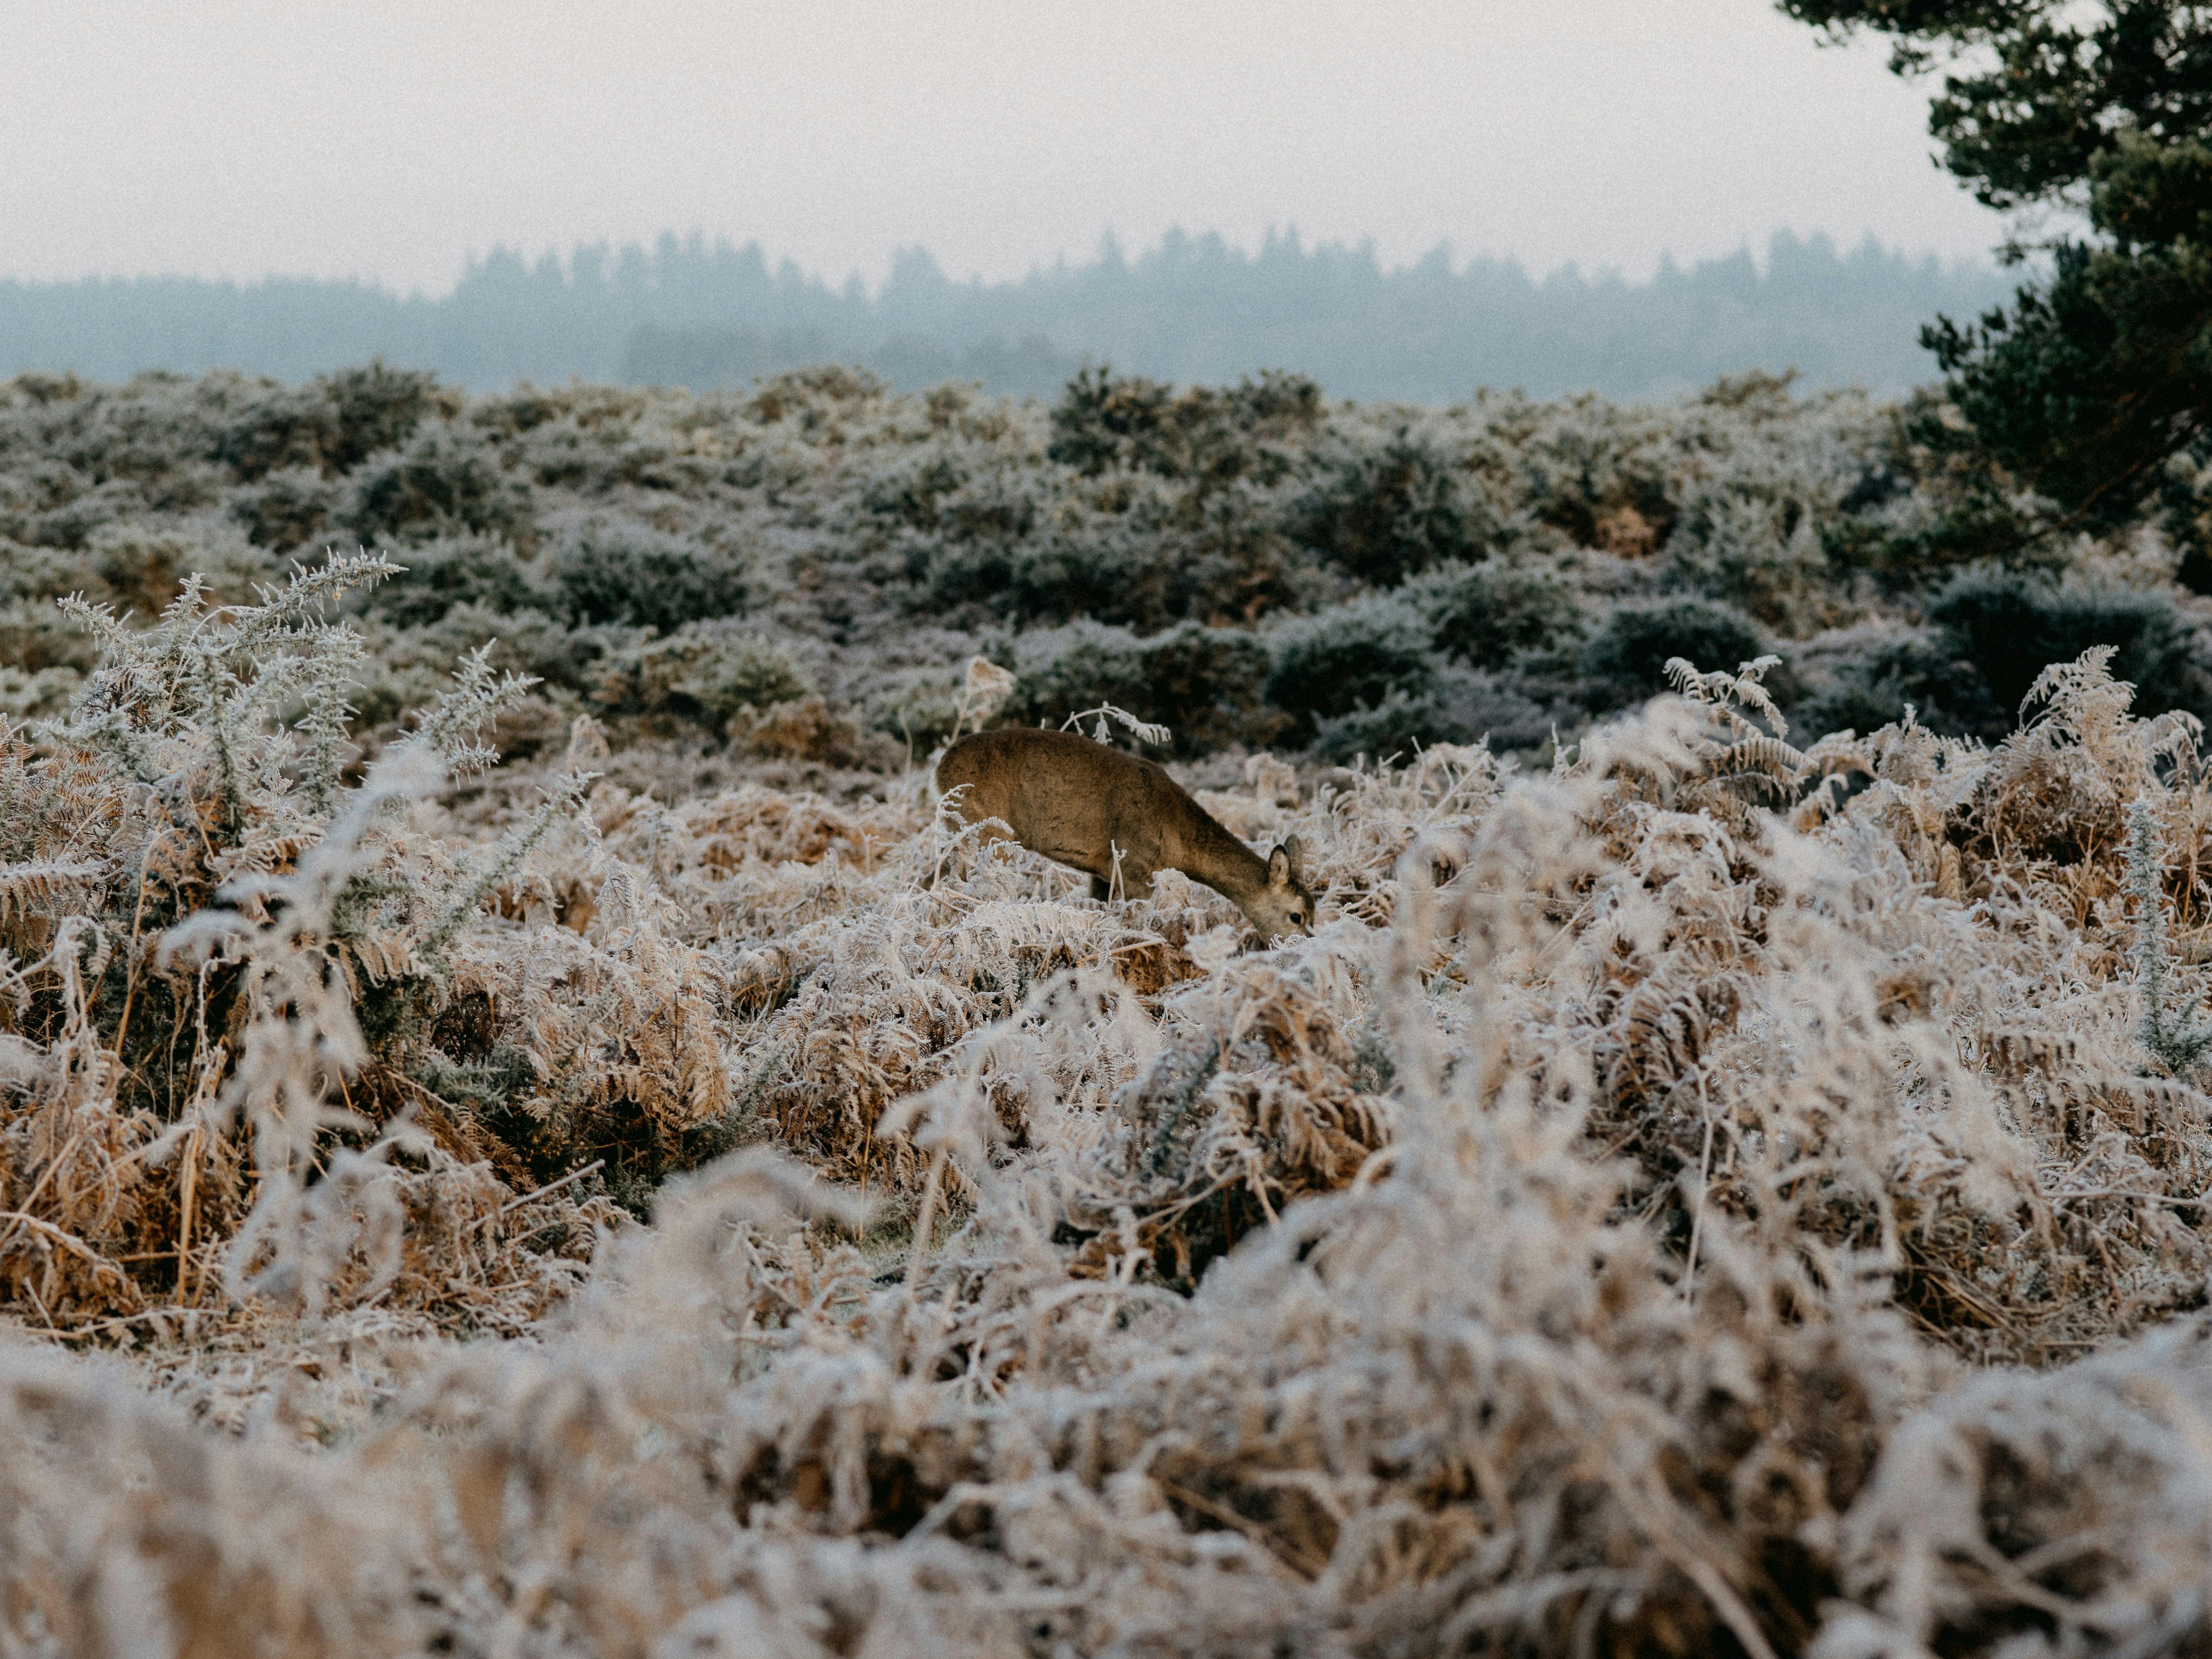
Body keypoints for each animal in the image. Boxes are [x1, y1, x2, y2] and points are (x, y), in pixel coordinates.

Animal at [933, 730, 1309, 942]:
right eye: (1297, 916)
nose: (1303, 944)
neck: (1179, 845)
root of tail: (940, 767)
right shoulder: (1134, 869)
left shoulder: (1102, 873)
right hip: (984, 830)